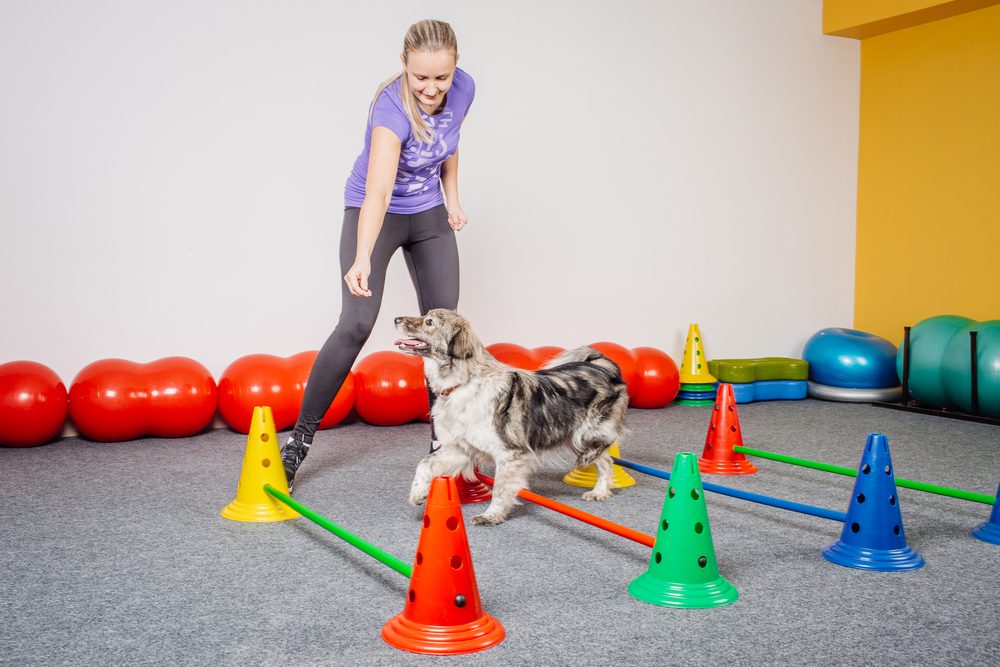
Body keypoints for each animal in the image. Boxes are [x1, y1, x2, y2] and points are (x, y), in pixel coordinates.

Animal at [394, 310, 628, 528]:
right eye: (426, 316)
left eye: (429, 322)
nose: (396, 319)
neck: (464, 382)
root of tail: (602, 366)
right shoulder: (461, 448)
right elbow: (425, 463)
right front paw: (418, 492)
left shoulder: (509, 454)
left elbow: (500, 488)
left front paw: (491, 516)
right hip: (571, 435)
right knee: (606, 461)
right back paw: (600, 491)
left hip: (586, 432)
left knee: (605, 448)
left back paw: (592, 471)